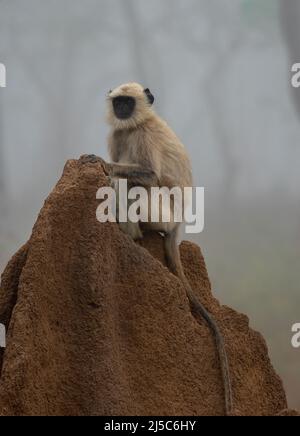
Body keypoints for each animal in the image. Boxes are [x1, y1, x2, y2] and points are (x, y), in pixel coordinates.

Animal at [91, 82, 232, 416]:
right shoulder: (118, 134)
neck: (136, 124)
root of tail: (179, 225)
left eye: (128, 102)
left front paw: (99, 163)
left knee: (136, 185)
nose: (122, 110)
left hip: (161, 213)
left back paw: (130, 231)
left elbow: (150, 175)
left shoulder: (143, 135)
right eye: (119, 102)